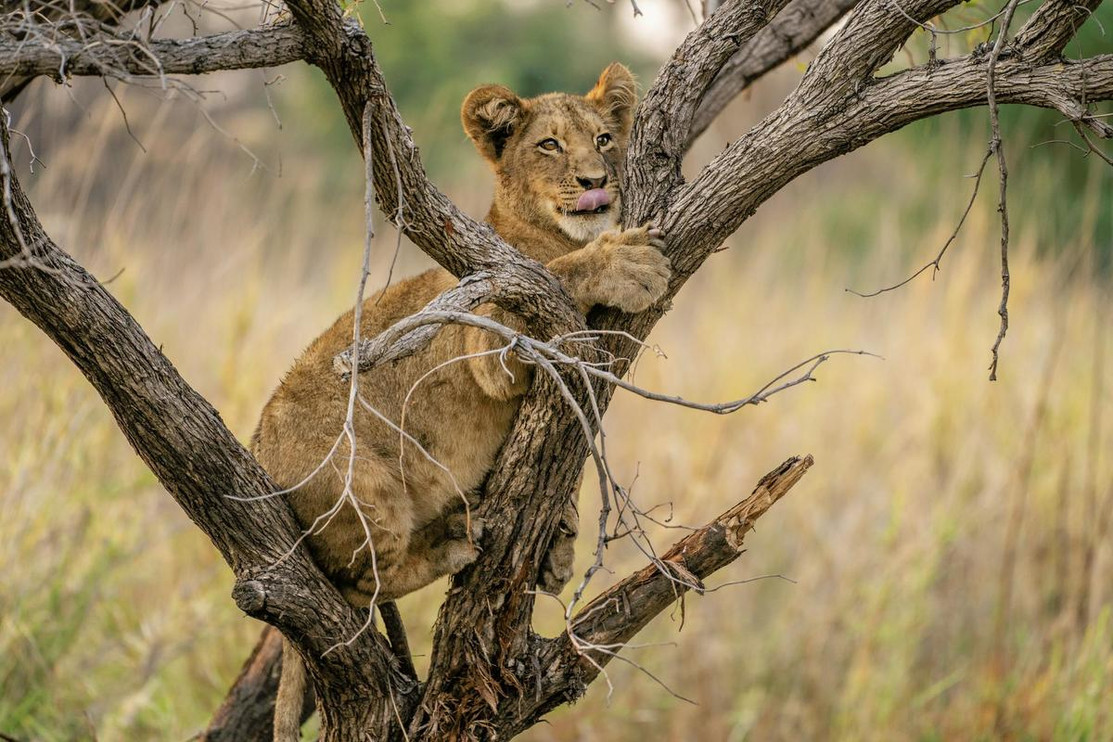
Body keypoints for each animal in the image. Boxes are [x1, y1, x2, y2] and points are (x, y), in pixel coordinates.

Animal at [260, 62, 670, 741]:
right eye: (549, 145)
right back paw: (452, 538)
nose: (595, 182)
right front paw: (626, 263)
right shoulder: (492, 342)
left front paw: (560, 542)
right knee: (357, 587)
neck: (541, 232)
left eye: (604, 139)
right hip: (362, 485)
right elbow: (557, 275)